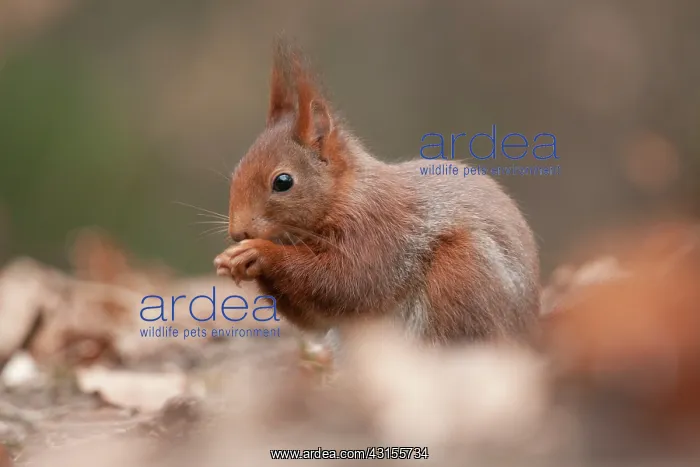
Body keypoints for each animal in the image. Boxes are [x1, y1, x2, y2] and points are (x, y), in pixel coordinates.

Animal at [214, 40, 540, 344]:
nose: (238, 232)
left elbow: (347, 281)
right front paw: (233, 261)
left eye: (282, 182)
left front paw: (259, 252)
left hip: (463, 273)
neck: (344, 196)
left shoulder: (379, 231)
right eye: (237, 171)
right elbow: (317, 314)